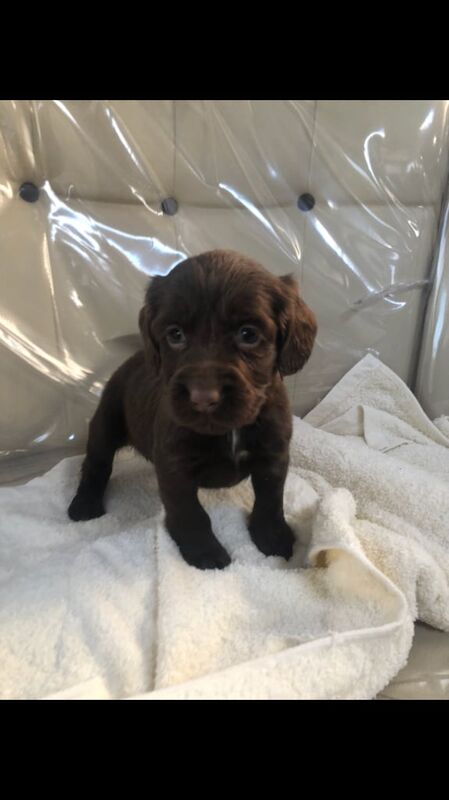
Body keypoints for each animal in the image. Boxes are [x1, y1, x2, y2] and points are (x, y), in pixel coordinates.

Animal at [68, 250, 316, 568]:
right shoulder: (174, 465)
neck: (229, 430)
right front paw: (204, 552)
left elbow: (270, 499)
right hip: (105, 424)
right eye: (175, 334)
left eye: (248, 334)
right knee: (96, 464)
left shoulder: (273, 455)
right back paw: (84, 504)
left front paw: (273, 537)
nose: (203, 397)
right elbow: (190, 512)